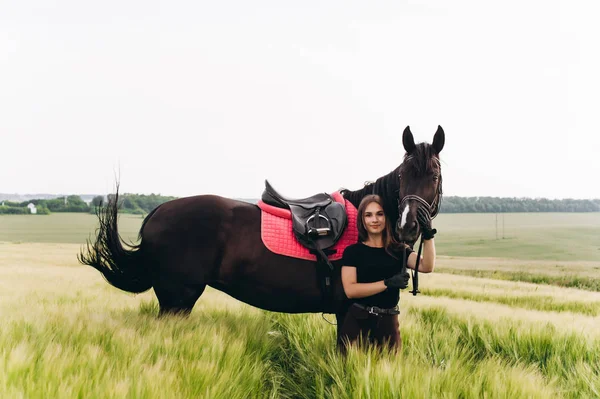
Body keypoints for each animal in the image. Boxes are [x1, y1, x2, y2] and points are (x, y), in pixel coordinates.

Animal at [78, 126, 446, 340]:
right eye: (403, 176)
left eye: (434, 176)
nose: (408, 225)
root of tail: (157, 212)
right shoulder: (347, 312)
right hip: (176, 299)